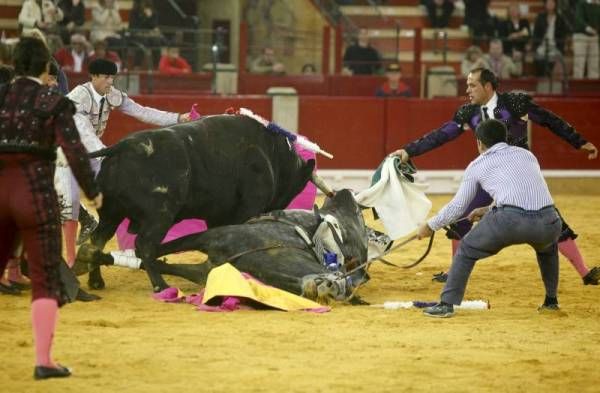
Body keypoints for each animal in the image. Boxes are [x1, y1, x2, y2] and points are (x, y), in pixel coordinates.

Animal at [75, 190, 370, 304]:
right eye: (357, 214)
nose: (347, 193)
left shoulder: (209, 248)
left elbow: (150, 252)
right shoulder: (207, 243)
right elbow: (153, 251)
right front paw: (86, 260)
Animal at [84, 114, 322, 290]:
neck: (273, 153)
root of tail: (122, 147)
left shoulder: (216, 215)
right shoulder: (249, 207)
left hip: (111, 213)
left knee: (97, 239)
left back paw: (96, 280)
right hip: (160, 215)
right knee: (144, 245)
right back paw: (161, 286)